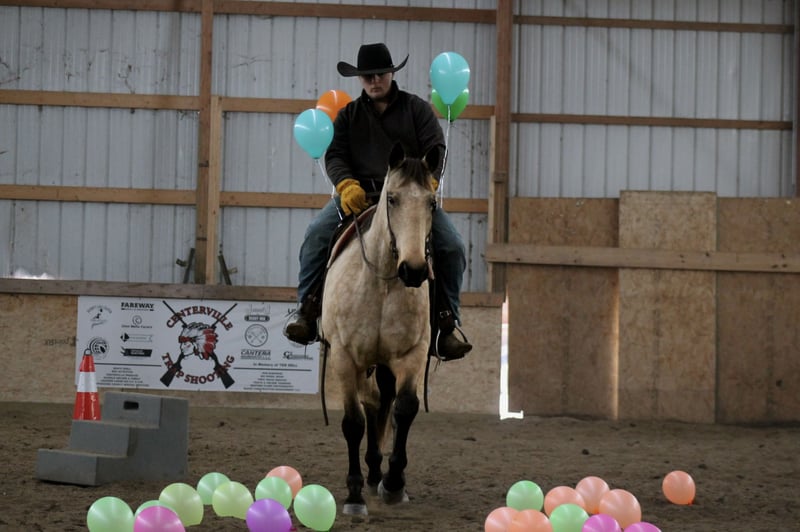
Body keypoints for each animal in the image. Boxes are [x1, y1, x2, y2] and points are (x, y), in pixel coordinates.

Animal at [320, 142, 439, 515]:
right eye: (393, 199)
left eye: (431, 202)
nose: (414, 270)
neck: (383, 282)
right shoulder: (344, 358)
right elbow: (353, 422)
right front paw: (354, 495)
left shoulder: (412, 353)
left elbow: (405, 408)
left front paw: (394, 483)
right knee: (370, 404)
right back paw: (369, 476)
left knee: (382, 404)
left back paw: (378, 475)